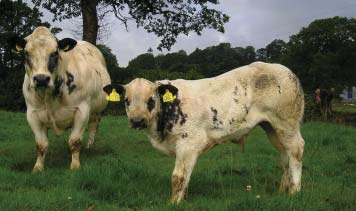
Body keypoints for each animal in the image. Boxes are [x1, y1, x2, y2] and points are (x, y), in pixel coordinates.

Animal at [13, 26, 111, 171]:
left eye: (55, 52)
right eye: (26, 53)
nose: (41, 79)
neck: (50, 98)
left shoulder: (82, 110)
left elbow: (75, 141)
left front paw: (75, 166)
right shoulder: (32, 114)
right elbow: (41, 144)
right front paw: (38, 168)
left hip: (96, 110)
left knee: (94, 126)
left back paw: (89, 147)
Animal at [104, 61, 304, 204]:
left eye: (151, 100)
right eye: (127, 101)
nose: (137, 121)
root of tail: (286, 71)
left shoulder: (188, 143)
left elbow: (178, 177)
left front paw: (173, 203)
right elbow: (185, 178)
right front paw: (183, 199)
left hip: (287, 123)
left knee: (296, 150)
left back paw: (294, 191)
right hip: (271, 127)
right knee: (284, 154)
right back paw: (283, 189)